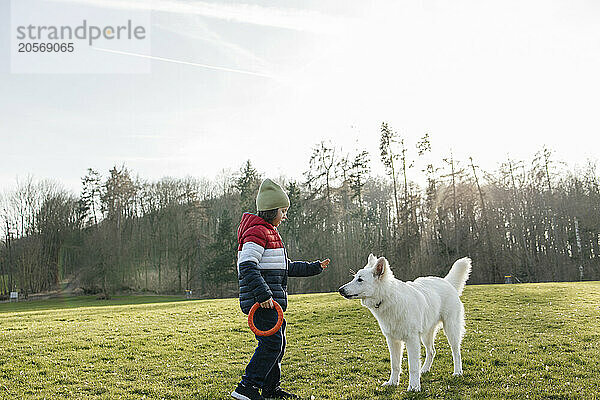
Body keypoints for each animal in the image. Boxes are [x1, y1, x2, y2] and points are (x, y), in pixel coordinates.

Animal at [338, 256, 474, 390]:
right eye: (355, 277)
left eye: (360, 280)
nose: (340, 290)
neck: (388, 297)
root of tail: (446, 282)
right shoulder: (392, 341)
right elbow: (395, 365)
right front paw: (393, 383)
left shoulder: (412, 340)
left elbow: (413, 367)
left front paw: (414, 387)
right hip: (426, 335)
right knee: (432, 351)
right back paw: (424, 370)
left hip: (451, 330)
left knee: (456, 352)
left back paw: (457, 372)